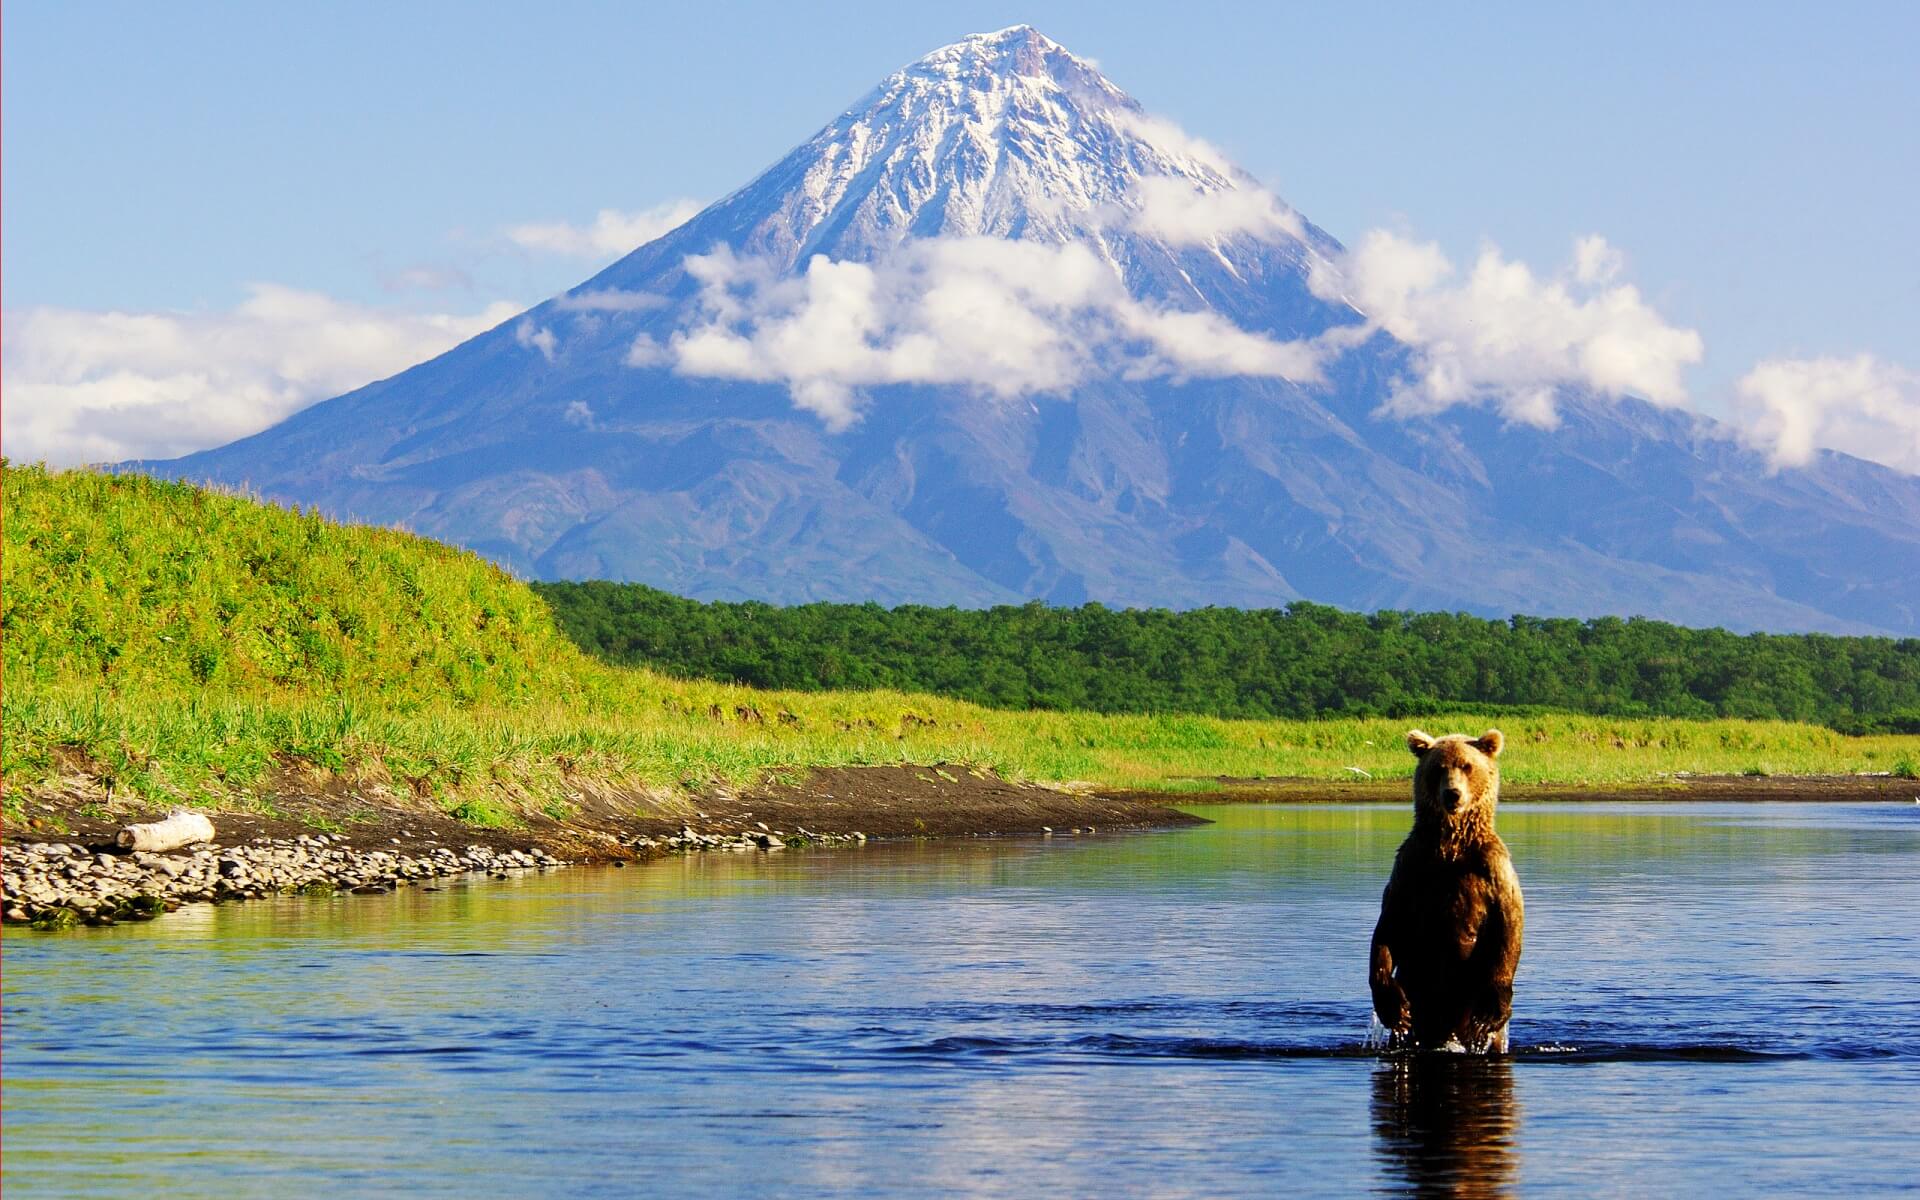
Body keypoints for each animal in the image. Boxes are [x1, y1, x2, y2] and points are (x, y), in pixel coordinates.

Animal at [1374, 729, 1520, 1044]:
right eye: (1438, 768)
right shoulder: (1410, 866)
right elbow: (1389, 926)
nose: (1452, 793)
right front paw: (1393, 1007)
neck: (1451, 847)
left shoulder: (1492, 868)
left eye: (1467, 766)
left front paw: (1490, 1012)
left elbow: (1508, 925)